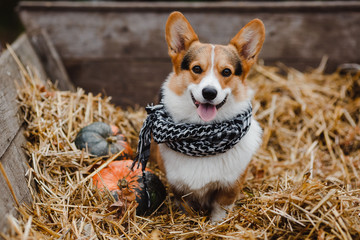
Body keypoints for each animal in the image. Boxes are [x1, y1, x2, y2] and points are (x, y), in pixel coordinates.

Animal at [155, 11, 264, 221]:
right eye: (197, 69)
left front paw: (216, 224)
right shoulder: (180, 191)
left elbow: (219, 213)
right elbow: (187, 209)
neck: (204, 134)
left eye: (227, 72)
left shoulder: (228, 189)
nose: (209, 93)